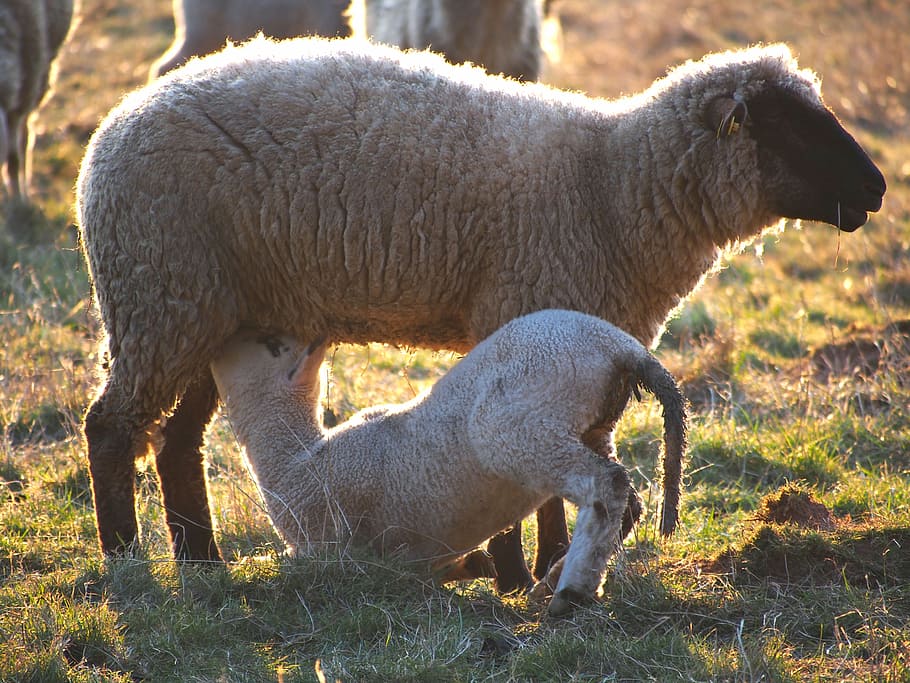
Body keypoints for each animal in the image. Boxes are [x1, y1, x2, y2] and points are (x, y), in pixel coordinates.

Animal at [210, 310, 688, 616]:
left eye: (271, 344)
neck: (297, 460)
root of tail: (620, 347)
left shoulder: (336, 548)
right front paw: (477, 565)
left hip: (520, 425)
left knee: (607, 485)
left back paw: (571, 593)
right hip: (589, 423)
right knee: (627, 501)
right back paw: (554, 580)